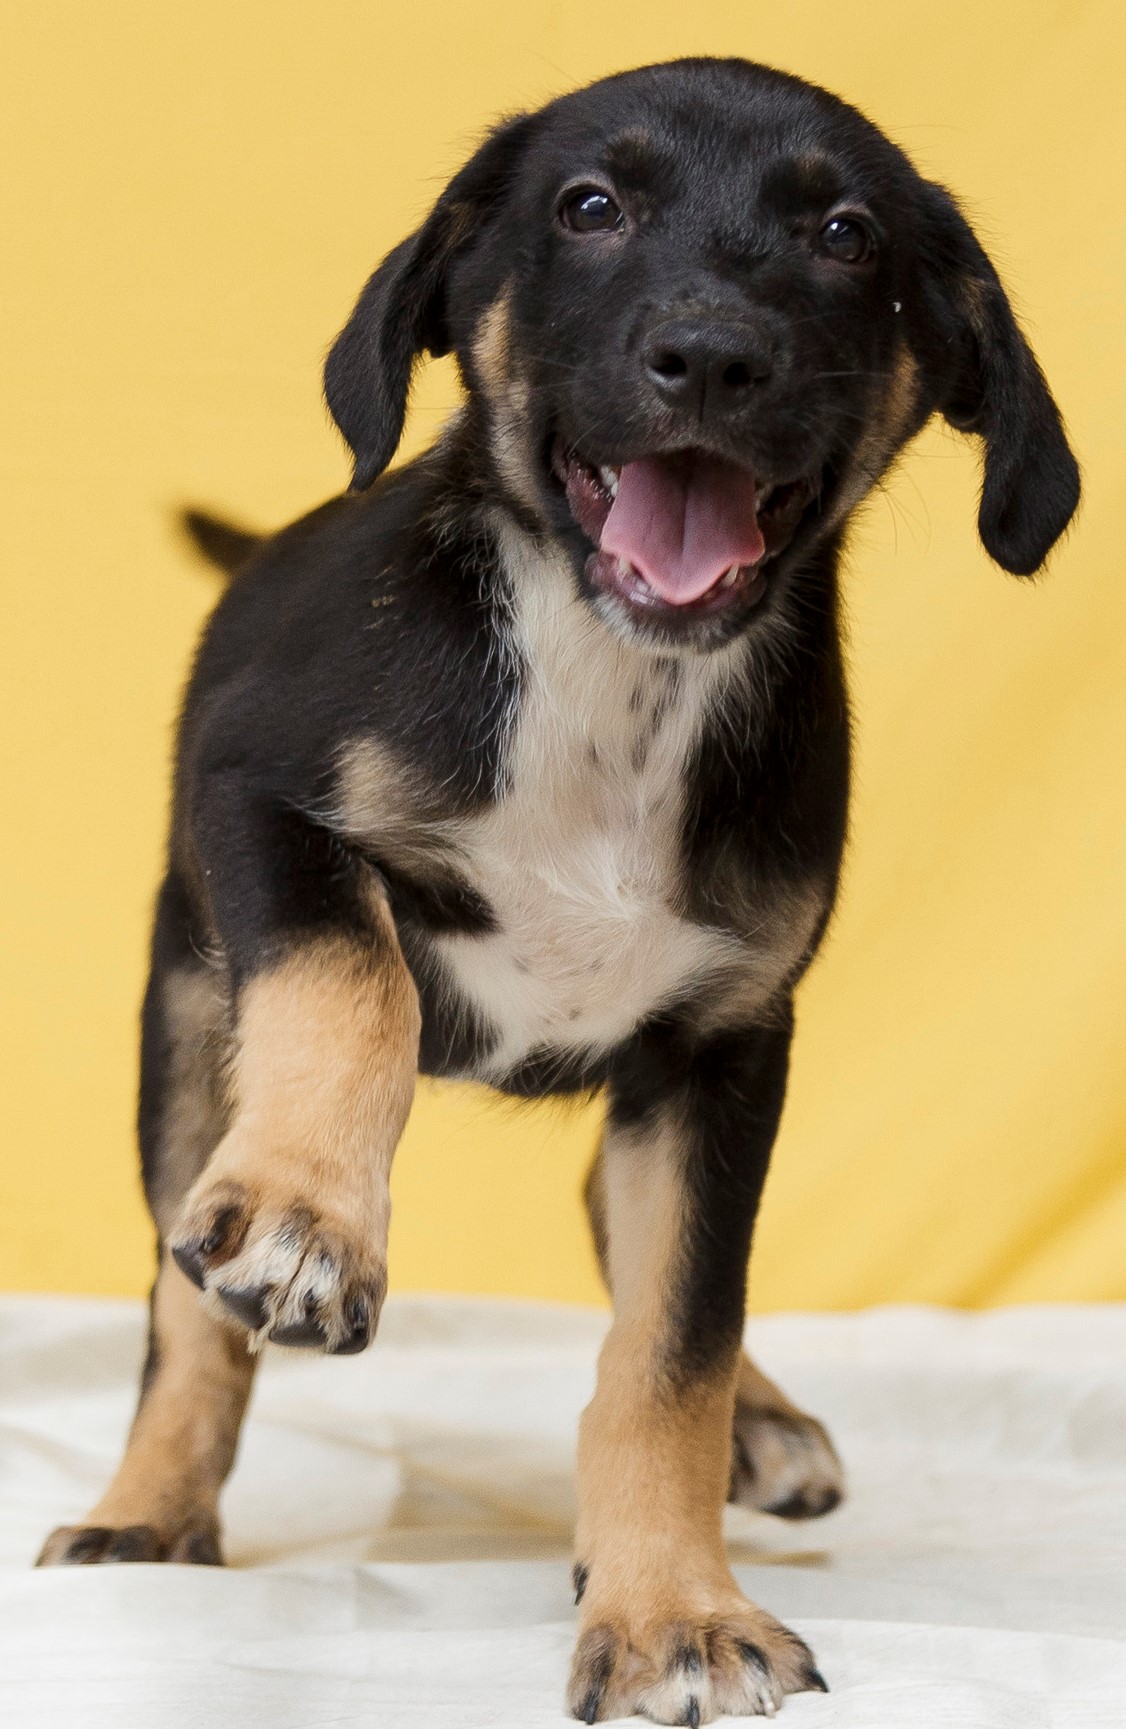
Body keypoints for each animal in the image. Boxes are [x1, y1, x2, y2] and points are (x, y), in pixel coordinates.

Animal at [37, 57, 1086, 1729]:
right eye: (590, 207)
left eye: (847, 235)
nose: (711, 356)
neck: (611, 680)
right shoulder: (260, 802)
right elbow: (355, 987)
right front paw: (310, 1216)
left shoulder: (728, 1045)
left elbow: (674, 1343)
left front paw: (672, 1606)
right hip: (184, 1015)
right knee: (180, 1298)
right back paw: (151, 1506)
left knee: (635, 1236)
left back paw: (760, 1422)